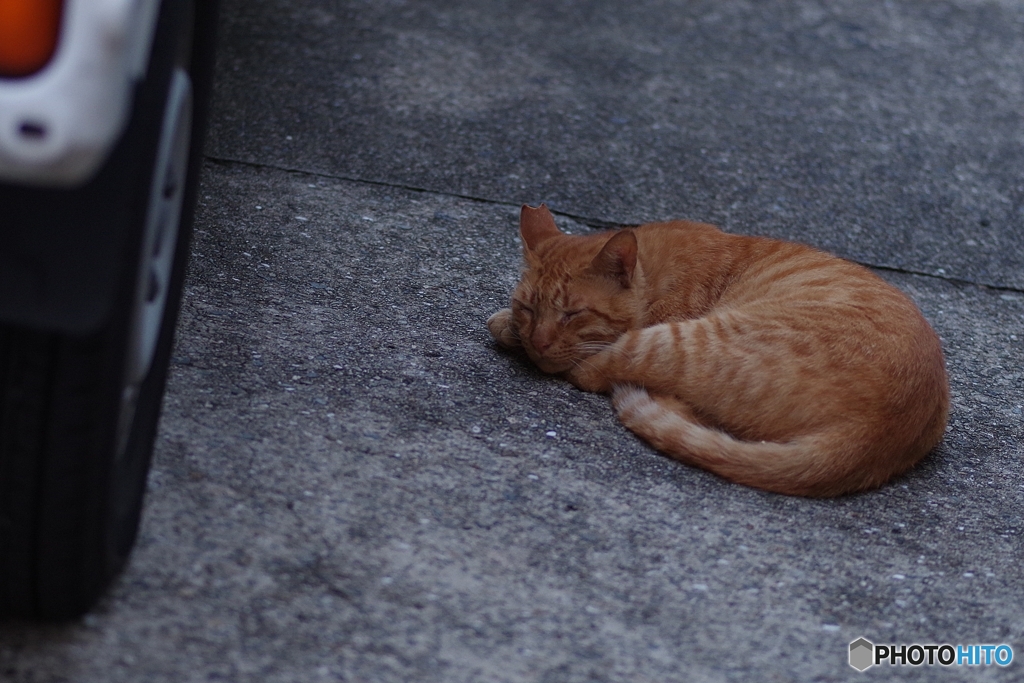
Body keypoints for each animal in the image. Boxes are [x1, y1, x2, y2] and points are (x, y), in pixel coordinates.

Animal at [489, 202, 950, 497]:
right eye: (528, 308)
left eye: (572, 314)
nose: (539, 342)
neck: (656, 271)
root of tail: (871, 434)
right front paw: (511, 327)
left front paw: (513, 333)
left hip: (684, 339)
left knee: (609, 374)